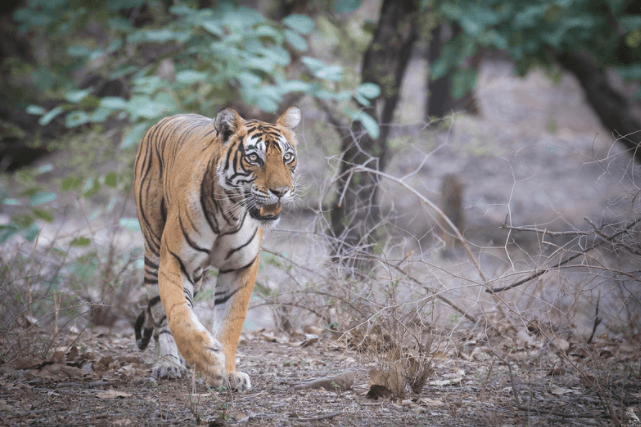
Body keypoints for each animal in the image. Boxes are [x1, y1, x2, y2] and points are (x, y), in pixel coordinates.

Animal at [132, 106, 301, 391]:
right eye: (254, 158)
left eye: (287, 157)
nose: (281, 191)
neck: (229, 213)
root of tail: (167, 118)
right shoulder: (175, 260)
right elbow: (179, 314)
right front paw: (208, 361)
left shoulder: (240, 267)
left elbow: (230, 324)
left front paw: (229, 373)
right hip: (154, 250)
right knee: (161, 318)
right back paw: (168, 363)